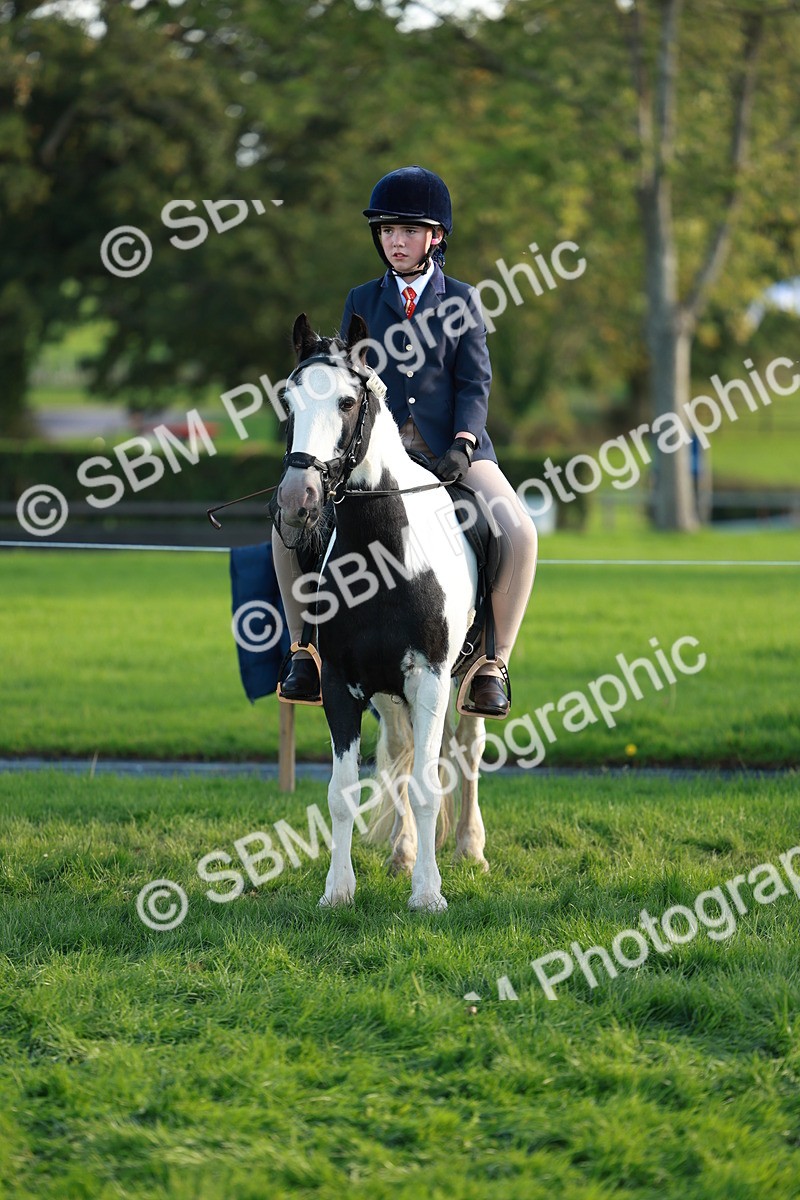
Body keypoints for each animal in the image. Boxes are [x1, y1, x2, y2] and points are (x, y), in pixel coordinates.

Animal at [275, 312, 489, 911]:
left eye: (347, 401)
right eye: (288, 400)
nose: (297, 499)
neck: (384, 556)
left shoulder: (431, 678)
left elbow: (427, 786)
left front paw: (429, 895)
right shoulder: (341, 685)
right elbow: (343, 792)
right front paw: (338, 891)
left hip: (464, 676)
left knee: (467, 750)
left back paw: (470, 849)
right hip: (390, 695)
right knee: (401, 749)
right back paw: (403, 853)